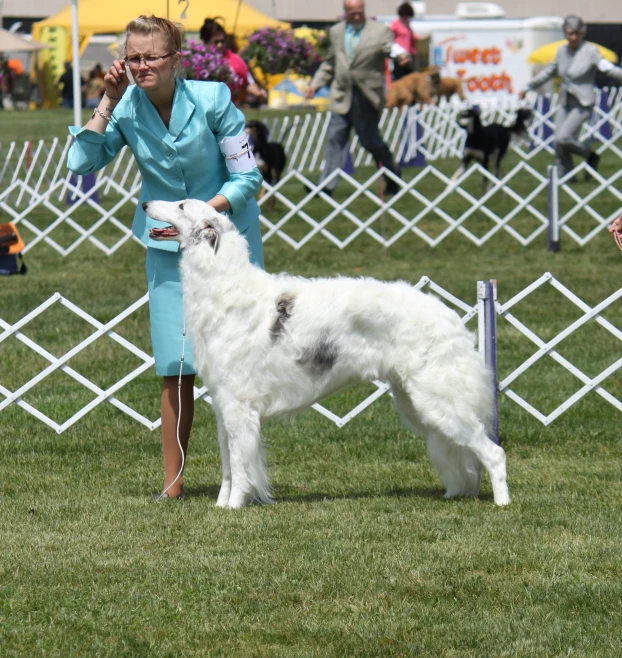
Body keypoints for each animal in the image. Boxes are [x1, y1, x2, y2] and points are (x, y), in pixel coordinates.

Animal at [145, 199, 512, 508]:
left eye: (181, 204)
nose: (146, 203)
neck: (225, 288)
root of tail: (449, 316)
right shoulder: (224, 405)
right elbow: (227, 467)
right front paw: (222, 505)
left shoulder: (238, 405)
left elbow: (239, 465)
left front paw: (235, 506)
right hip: (414, 400)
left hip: (437, 399)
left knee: (494, 453)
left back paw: (502, 501)